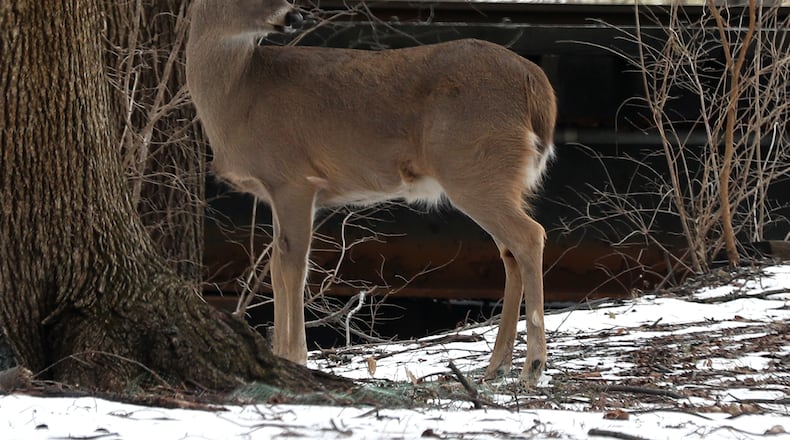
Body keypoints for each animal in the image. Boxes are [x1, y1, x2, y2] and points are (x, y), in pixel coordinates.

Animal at [186, 0, 557, 386]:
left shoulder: (294, 178)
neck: (240, 96)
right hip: (494, 176)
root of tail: (538, 86)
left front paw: (294, 356)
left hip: (475, 166)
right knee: (509, 251)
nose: (295, 16)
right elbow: (276, 263)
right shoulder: (277, 189)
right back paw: (497, 365)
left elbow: (293, 265)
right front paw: (280, 354)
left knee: (529, 236)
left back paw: (532, 366)